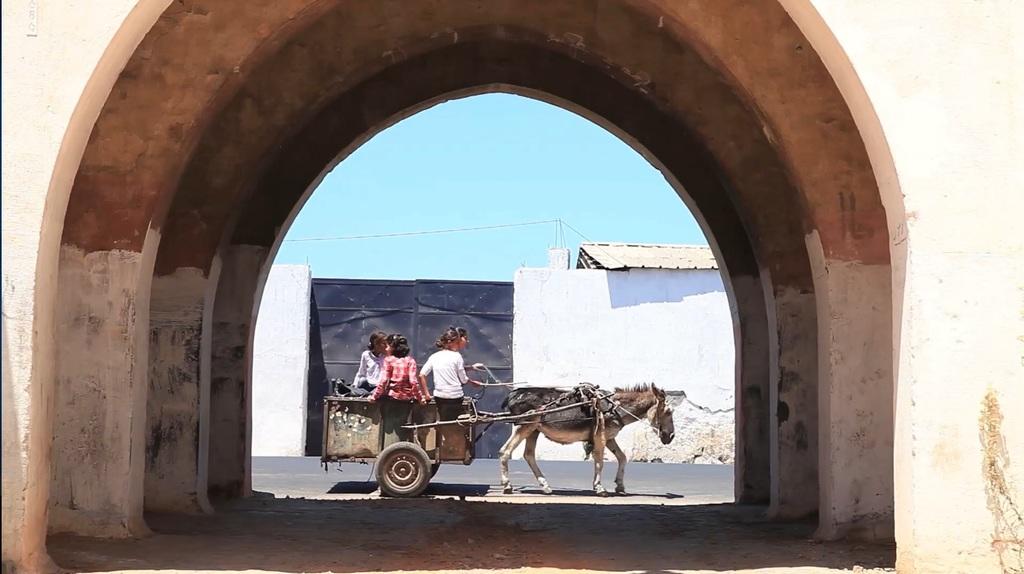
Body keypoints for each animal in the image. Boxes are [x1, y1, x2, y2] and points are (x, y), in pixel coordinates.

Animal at [497, 383, 675, 496]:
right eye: (668, 412)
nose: (671, 436)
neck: (615, 407)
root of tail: (513, 393)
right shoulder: (600, 437)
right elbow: (599, 462)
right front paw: (600, 488)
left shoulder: (609, 438)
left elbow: (622, 458)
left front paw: (620, 485)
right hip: (525, 426)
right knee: (505, 451)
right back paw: (507, 486)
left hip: (534, 430)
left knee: (528, 455)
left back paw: (545, 486)